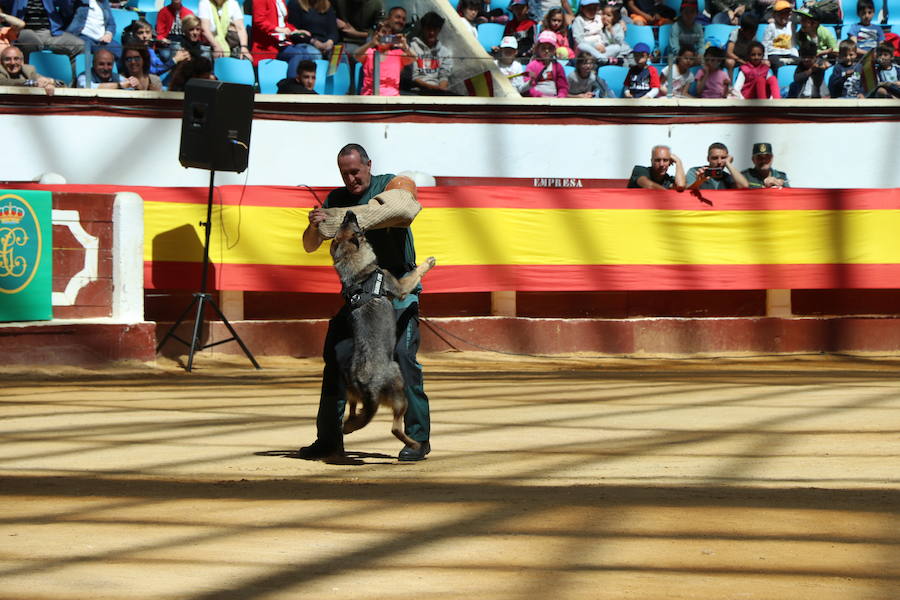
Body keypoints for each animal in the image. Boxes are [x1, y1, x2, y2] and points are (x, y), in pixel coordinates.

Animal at [332, 211, 438, 450]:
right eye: (354, 225)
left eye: (345, 223)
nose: (349, 212)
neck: (356, 271)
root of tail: (370, 387)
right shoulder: (399, 286)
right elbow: (413, 276)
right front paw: (427, 264)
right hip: (400, 392)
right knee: (395, 428)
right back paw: (414, 445)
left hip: (351, 390)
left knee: (354, 412)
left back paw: (348, 424)